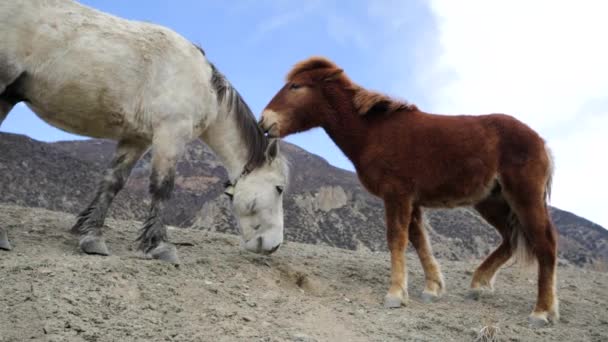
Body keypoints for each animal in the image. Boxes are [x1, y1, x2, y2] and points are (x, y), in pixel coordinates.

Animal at [0, 0, 288, 264]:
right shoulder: (171, 135)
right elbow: (162, 187)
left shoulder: (135, 139)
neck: (202, 85)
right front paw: (158, 246)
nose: (274, 246)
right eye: (279, 188)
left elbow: (113, 182)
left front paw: (91, 234)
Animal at [258, 57, 560, 328]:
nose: (263, 121)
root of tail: (540, 141)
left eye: (296, 86)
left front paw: (395, 294)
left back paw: (542, 312)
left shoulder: (397, 195)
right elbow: (419, 240)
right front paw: (432, 288)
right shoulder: (411, 201)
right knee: (510, 239)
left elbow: (397, 239)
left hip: (524, 196)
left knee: (545, 244)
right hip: (491, 201)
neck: (374, 132)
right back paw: (480, 284)